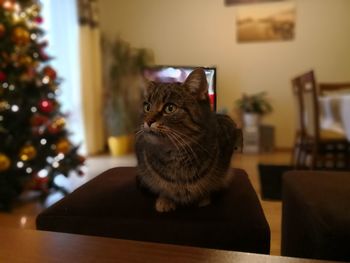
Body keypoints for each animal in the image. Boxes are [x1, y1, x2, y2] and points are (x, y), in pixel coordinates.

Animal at [135, 68, 241, 214]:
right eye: (147, 107)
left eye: (170, 108)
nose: (148, 121)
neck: (176, 153)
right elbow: (163, 188)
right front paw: (165, 199)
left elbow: (209, 186)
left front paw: (203, 198)